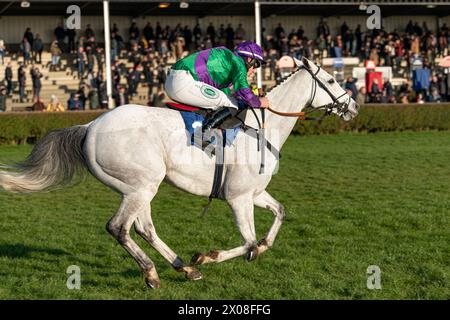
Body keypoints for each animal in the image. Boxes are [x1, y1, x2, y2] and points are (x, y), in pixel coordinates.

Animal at [0, 57, 358, 288]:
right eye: (330, 80)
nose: (353, 106)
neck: (261, 128)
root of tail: (89, 125)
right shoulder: (238, 197)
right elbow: (248, 241)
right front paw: (206, 256)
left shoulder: (253, 193)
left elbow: (278, 215)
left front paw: (256, 249)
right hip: (142, 184)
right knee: (119, 227)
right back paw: (154, 273)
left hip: (137, 187)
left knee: (142, 228)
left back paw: (181, 268)